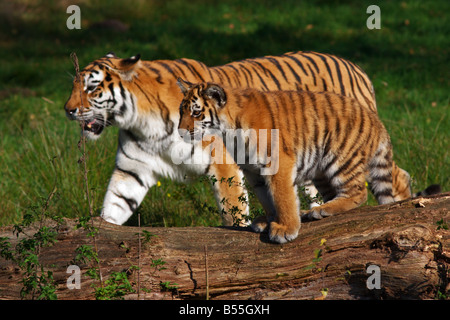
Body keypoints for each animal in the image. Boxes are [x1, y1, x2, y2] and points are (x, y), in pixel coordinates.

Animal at [63, 52, 418, 225]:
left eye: (91, 87)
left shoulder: (226, 166)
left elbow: (233, 210)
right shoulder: (132, 169)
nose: (68, 110)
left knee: (396, 175)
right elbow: (115, 206)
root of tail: (356, 67)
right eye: (74, 85)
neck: (142, 122)